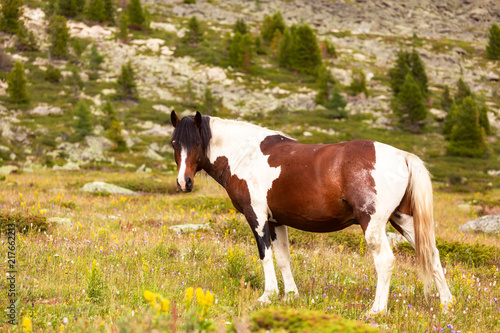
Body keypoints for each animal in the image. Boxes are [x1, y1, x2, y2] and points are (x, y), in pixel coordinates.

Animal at [169, 110, 454, 312]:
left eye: (196, 144)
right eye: (174, 144)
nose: (184, 182)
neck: (244, 155)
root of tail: (403, 156)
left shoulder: (257, 217)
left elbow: (265, 256)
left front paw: (267, 296)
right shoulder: (276, 221)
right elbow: (283, 258)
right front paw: (291, 295)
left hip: (373, 225)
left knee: (385, 261)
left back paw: (376, 311)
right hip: (403, 220)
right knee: (432, 254)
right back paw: (447, 305)